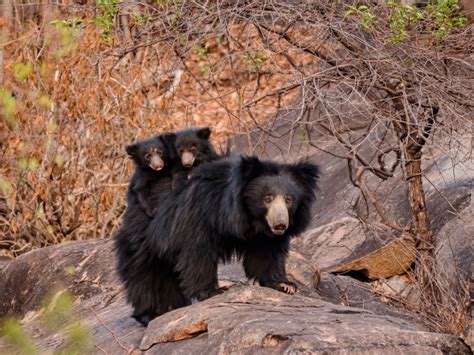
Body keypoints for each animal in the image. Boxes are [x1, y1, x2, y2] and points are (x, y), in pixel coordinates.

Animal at [124, 156, 320, 326]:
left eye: (289, 199)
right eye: (267, 198)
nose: (280, 225)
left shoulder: (264, 236)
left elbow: (268, 253)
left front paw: (285, 285)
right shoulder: (201, 213)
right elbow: (198, 252)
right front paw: (214, 291)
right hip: (145, 237)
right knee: (144, 275)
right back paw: (150, 314)